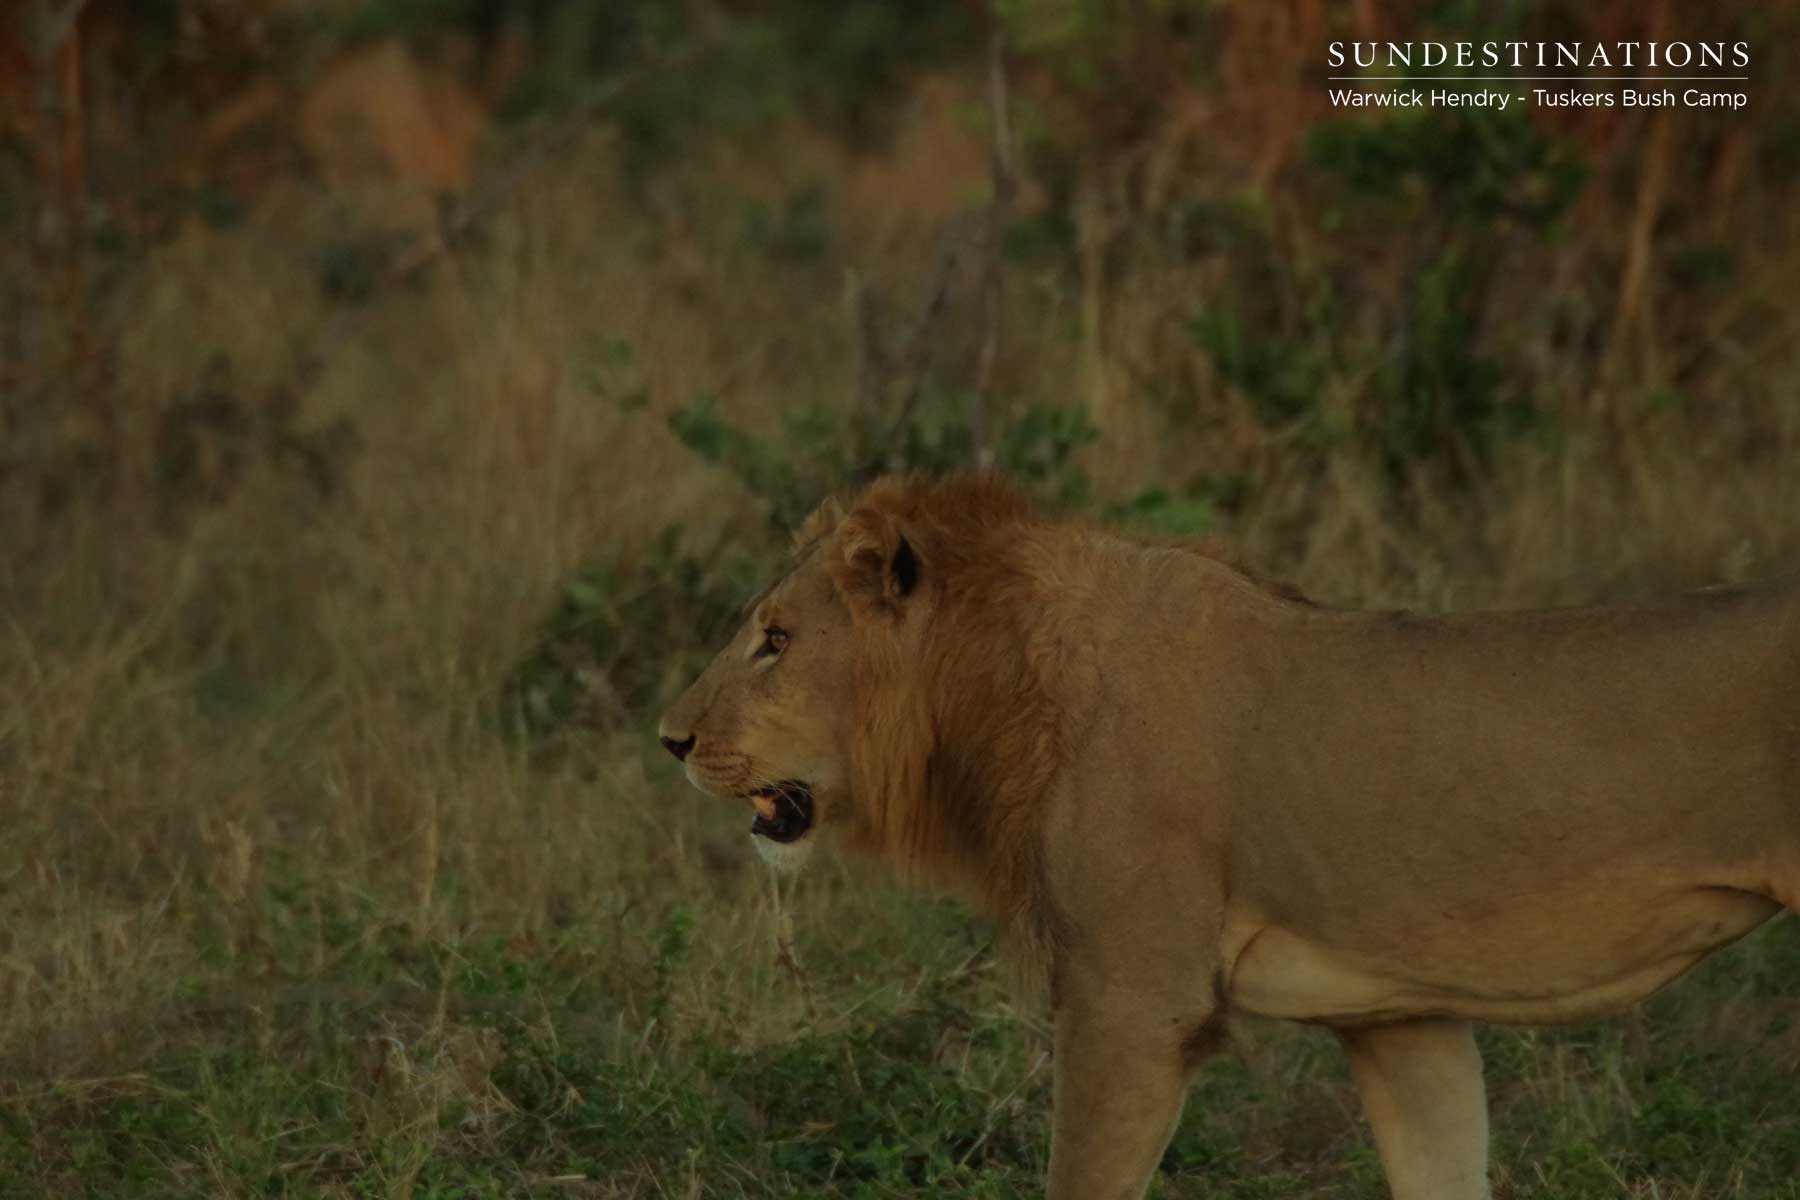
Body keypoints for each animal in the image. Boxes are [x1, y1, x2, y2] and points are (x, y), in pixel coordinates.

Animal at [657, 471, 1800, 1200]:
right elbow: (1443, 1164)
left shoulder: (1131, 1003)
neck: (1006, 684)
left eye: (775, 641)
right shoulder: (1402, 1018)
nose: (670, 739)